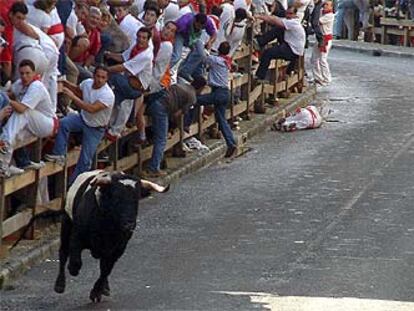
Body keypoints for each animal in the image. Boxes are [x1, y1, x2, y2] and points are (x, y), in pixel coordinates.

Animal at [54, 171, 169, 302]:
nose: (129, 224)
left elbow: (106, 270)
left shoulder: (118, 249)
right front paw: (73, 270)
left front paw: (96, 292)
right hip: (66, 225)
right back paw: (59, 284)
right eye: (116, 197)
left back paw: (105, 287)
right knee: (63, 253)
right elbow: (75, 261)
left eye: (136, 199)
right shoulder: (76, 236)